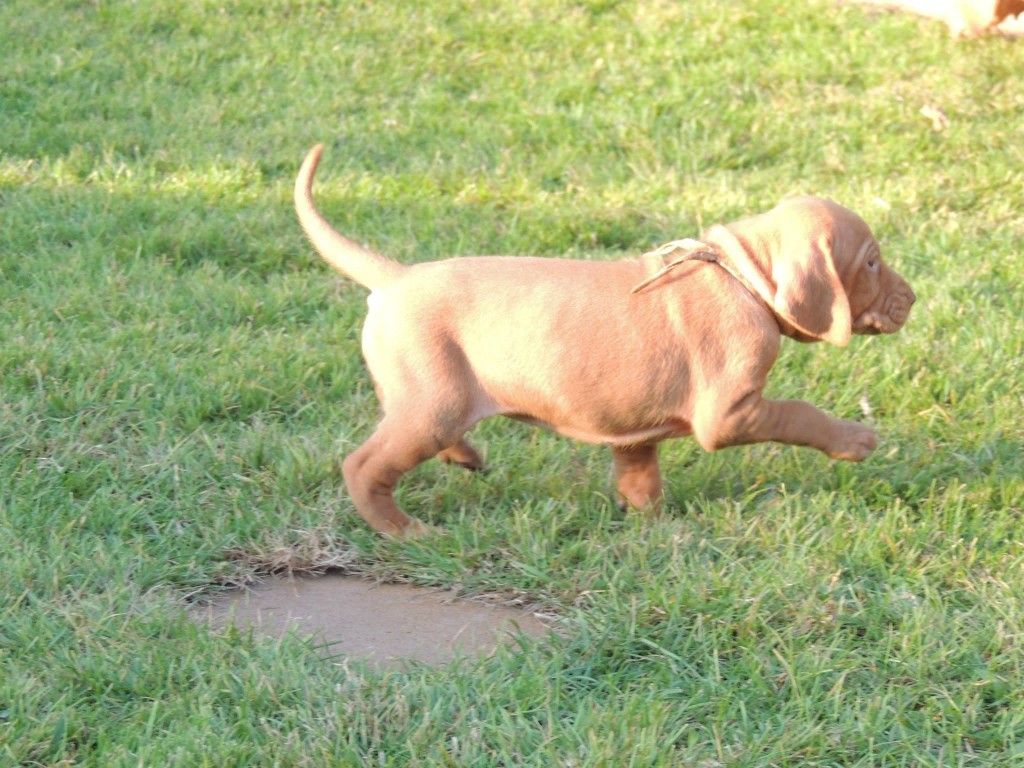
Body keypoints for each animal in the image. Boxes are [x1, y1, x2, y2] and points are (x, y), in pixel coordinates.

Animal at [292, 147, 917, 536]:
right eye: (872, 262)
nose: (913, 298)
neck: (743, 277)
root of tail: (395, 278)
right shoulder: (731, 414)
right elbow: (799, 412)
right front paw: (855, 439)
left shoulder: (634, 426)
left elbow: (641, 474)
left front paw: (654, 526)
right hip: (433, 401)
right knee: (365, 466)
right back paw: (405, 530)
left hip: (426, 398)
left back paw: (465, 457)